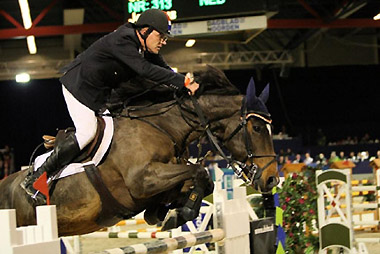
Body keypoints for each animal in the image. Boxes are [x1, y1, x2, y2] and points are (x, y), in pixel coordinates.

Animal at [0, 65, 280, 236]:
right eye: (256, 128)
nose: (272, 179)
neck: (165, 127)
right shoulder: (142, 180)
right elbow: (199, 172)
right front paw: (181, 213)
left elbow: (201, 181)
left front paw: (168, 212)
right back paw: (31, 185)